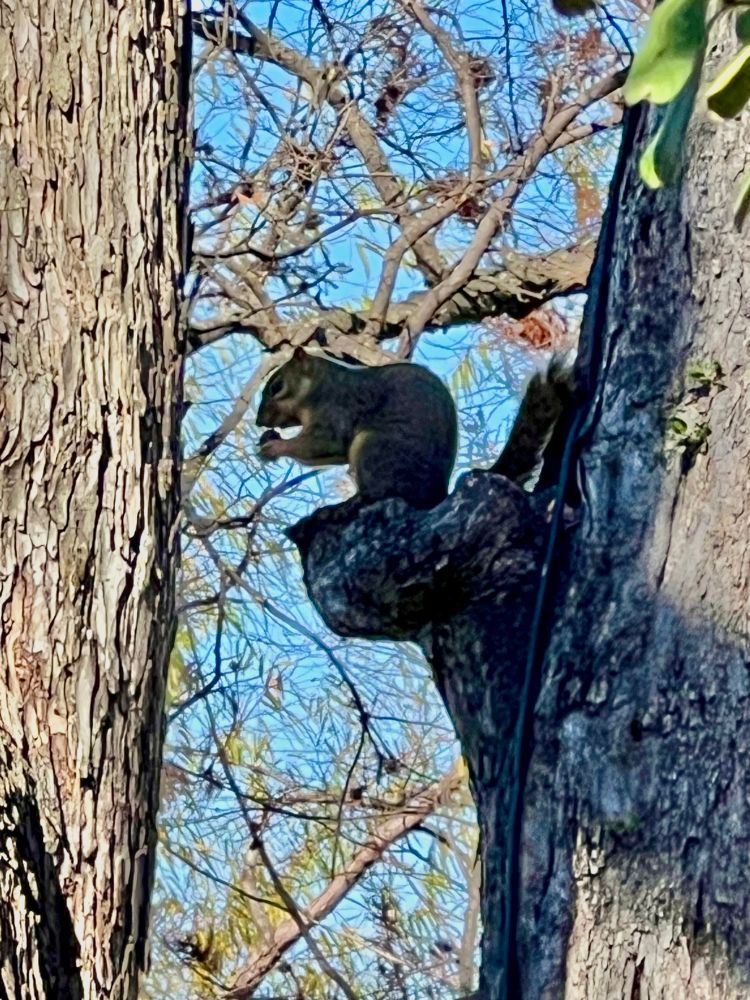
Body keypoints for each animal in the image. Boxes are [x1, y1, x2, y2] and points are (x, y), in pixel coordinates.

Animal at [256, 347, 458, 509]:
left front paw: (275, 447)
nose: (258, 421)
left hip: (374, 448)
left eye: (276, 387)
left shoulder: (337, 410)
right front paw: (268, 437)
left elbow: (324, 443)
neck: (321, 386)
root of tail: (436, 494)